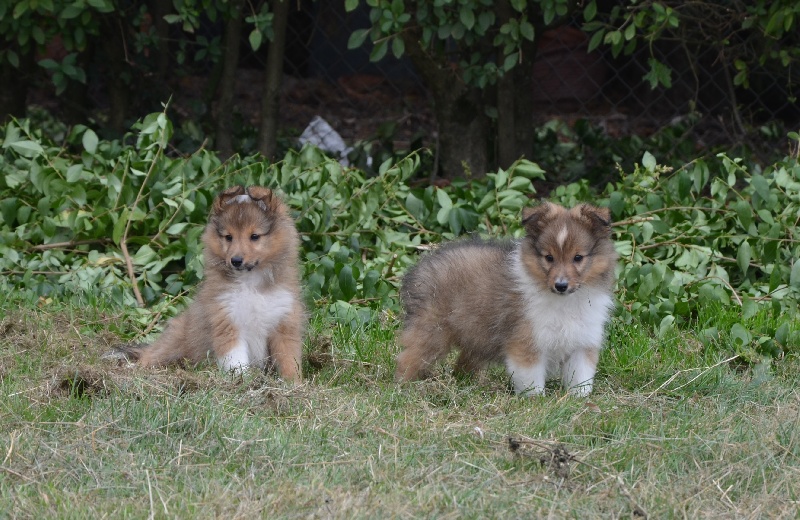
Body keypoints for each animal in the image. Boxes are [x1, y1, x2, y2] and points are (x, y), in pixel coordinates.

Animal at [117, 186, 304, 382]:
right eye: (228, 237)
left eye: (254, 236)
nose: (236, 261)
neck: (251, 283)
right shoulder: (226, 321)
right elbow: (236, 359)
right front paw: (242, 381)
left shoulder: (284, 323)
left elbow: (289, 358)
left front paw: (293, 383)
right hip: (173, 346)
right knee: (151, 355)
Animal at [396, 201, 616, 396]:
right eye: (549, 257)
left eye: (578, 258)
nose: (560, 285)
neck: (564, 301)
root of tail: (422, 265)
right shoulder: (525, 341)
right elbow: (531, 380)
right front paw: (536, 401)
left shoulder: (582, 342)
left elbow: (581, 378)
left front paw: (579, 400)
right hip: (432, 331)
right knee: (409, 358)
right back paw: (403, 387)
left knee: (463, 364)